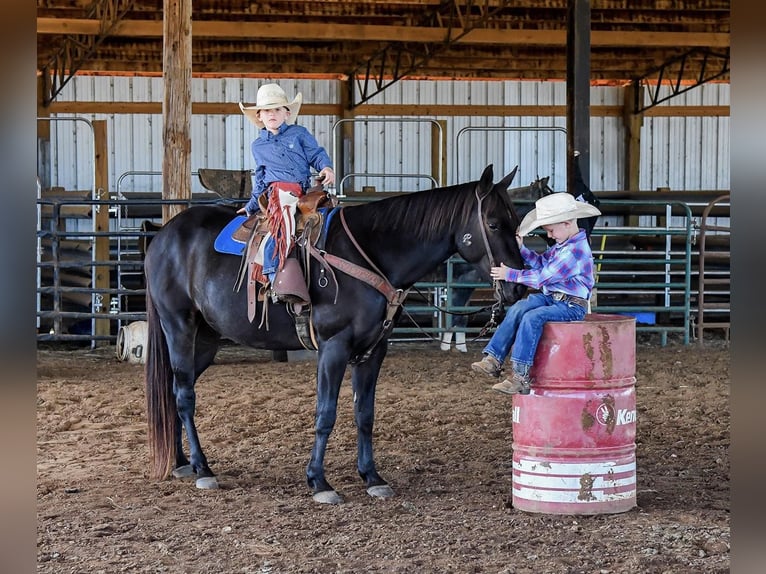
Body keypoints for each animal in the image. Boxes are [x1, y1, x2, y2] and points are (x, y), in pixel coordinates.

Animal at [144, 164, 528, 506]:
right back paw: (202, 468)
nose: (518, 287)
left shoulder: (374, 350)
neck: (371, 254)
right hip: (179, 326)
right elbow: (326, 412)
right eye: (493, 224)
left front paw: (372, 477)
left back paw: (181, 463)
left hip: (207, 339)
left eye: (516, 223)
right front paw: (319, 482)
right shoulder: (334, 347)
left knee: (175, 390)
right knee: (184, 394)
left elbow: (365, 413)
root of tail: (163, 236)